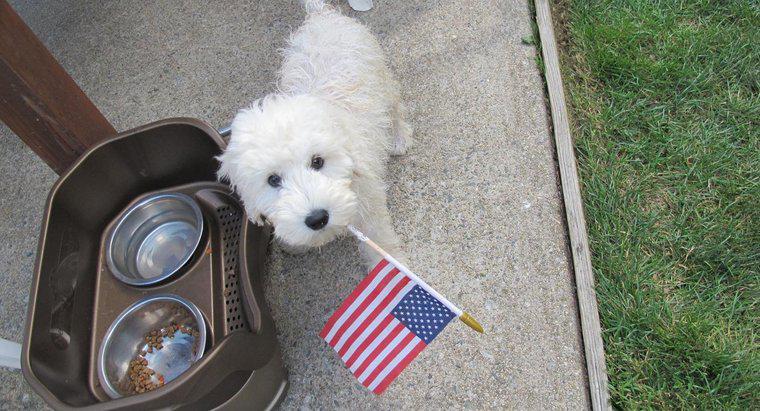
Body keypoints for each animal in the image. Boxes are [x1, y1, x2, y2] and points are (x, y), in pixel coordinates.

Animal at [217, 0, 412, 268]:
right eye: (273, 180)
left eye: (317, 161)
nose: (317, 218)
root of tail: (321, 15)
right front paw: (295, 243)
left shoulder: (368, 201)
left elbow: (380, 239)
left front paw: (393, 266)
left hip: (381, 79)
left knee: (394, 106)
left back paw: (398, 137)